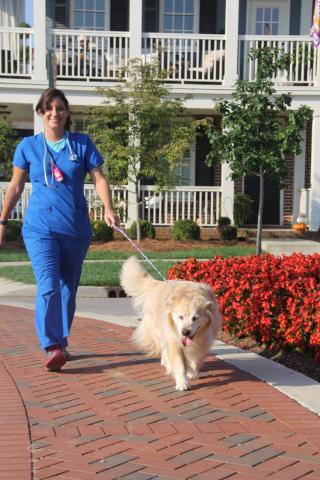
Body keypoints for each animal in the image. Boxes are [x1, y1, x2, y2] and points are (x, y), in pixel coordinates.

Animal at [119, 255, 221, 390]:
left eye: (195, 318)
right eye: (180, 317)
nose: (185, 332)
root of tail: (158, 284)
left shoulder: (204, 340)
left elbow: (195, 359)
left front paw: (192, 372)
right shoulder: (174, 341)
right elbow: (179, 364)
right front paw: (182, 382)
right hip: (159, 332)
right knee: (164, 350)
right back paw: (167, 364)